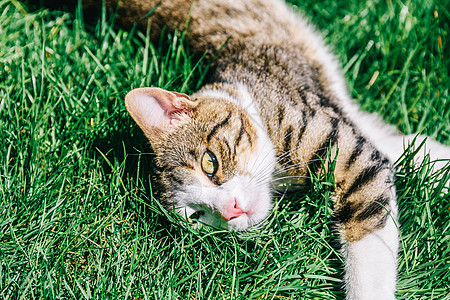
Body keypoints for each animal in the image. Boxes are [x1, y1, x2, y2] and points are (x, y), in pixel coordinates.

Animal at [82, 0, 450, 298]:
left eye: (210, 164)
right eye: (196, 216)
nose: (231, 210)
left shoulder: (346, 151)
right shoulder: (351, 128)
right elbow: (395, 149)